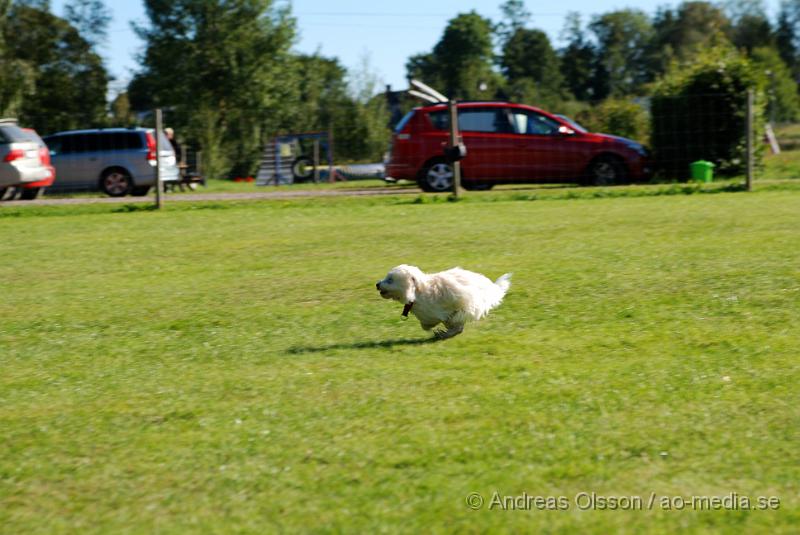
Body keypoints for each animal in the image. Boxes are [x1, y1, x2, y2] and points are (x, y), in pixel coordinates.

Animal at [376, 266, 512, 342]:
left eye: (390, 279)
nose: (377, 284)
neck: (418, 292)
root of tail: (490, 288)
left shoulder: (458, 307)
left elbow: (454, 323)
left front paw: (444, 332)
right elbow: (427, 325)